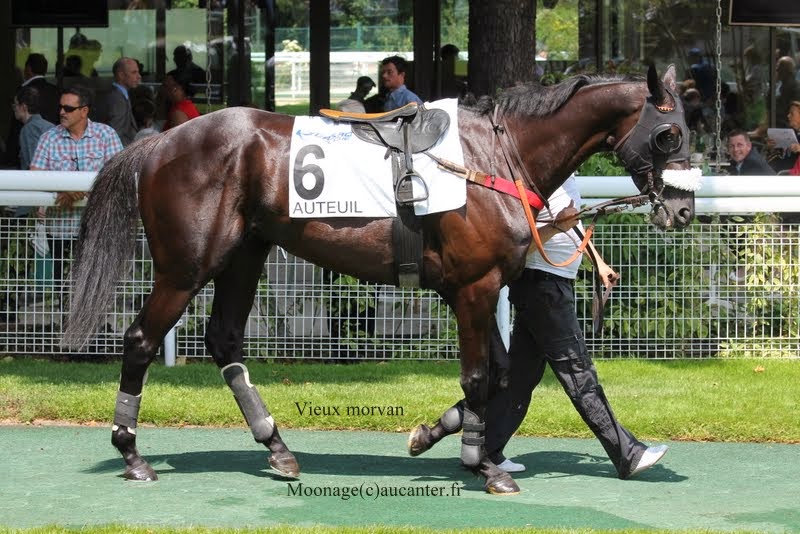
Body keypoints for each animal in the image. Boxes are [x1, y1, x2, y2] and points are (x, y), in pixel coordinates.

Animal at [65, 65, 696, 496]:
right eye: (669, 134)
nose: (684, 210)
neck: (494, 156)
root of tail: (161, 141)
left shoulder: (481, 287)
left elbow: (498, 377)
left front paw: (441, 437)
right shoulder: (473, 288)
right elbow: (480, 377)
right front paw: (484, 465)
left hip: (245, 253)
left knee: (223, 339)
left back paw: (277, 447)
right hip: (187, 265)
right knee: (140, 341)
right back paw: (132, 455)